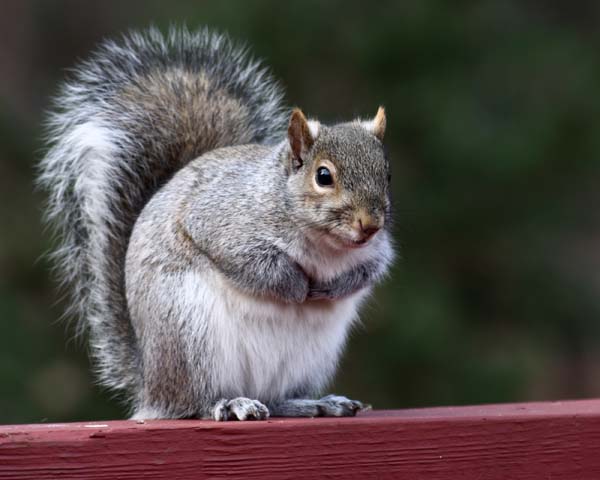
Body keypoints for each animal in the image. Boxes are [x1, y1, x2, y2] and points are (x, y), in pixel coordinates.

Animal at [38, 28, 394, 422]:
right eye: (323, 176)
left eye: (387, 175)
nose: (370, 225)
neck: (325, 245)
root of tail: (151, 385)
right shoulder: (219, 221)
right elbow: (250, 263)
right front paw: (296, 286)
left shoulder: (377, 250)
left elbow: (371, 269)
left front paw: (334, 287)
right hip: (190, 334)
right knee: (194, 403)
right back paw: (229, 403)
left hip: (309, 358)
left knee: (276, 399)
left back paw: (314, 403)